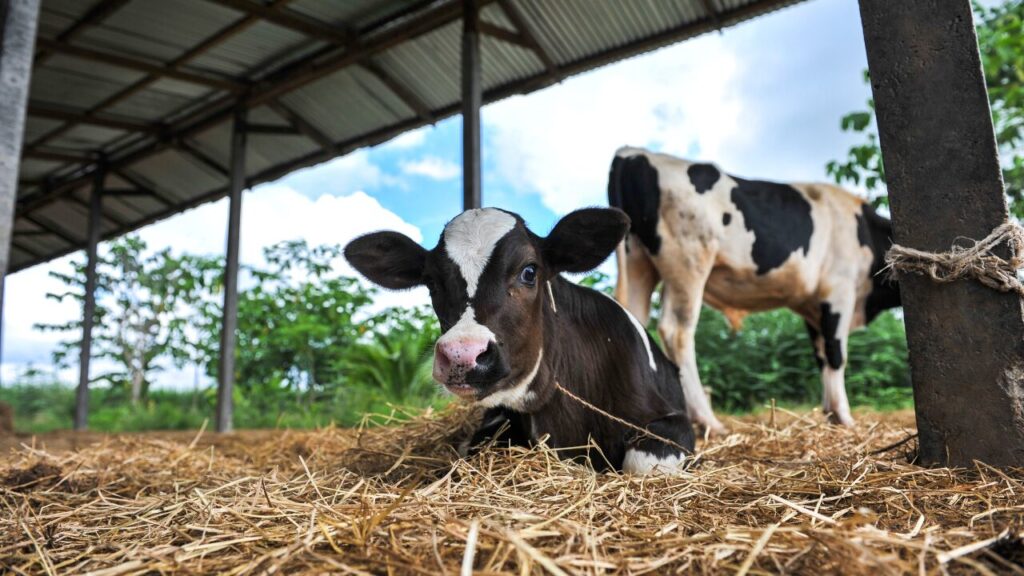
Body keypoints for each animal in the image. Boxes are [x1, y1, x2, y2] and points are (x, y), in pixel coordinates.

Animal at [602, 145, 901, 432]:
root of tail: (631, 153)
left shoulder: (813, 305)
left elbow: (821, 356)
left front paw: (831, 414)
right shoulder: (839, 290)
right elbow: (836, 354)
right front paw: (845, 417)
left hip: (638, 261)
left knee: (633, 319)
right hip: (688, 262)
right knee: (677, 332)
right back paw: (708, 420)